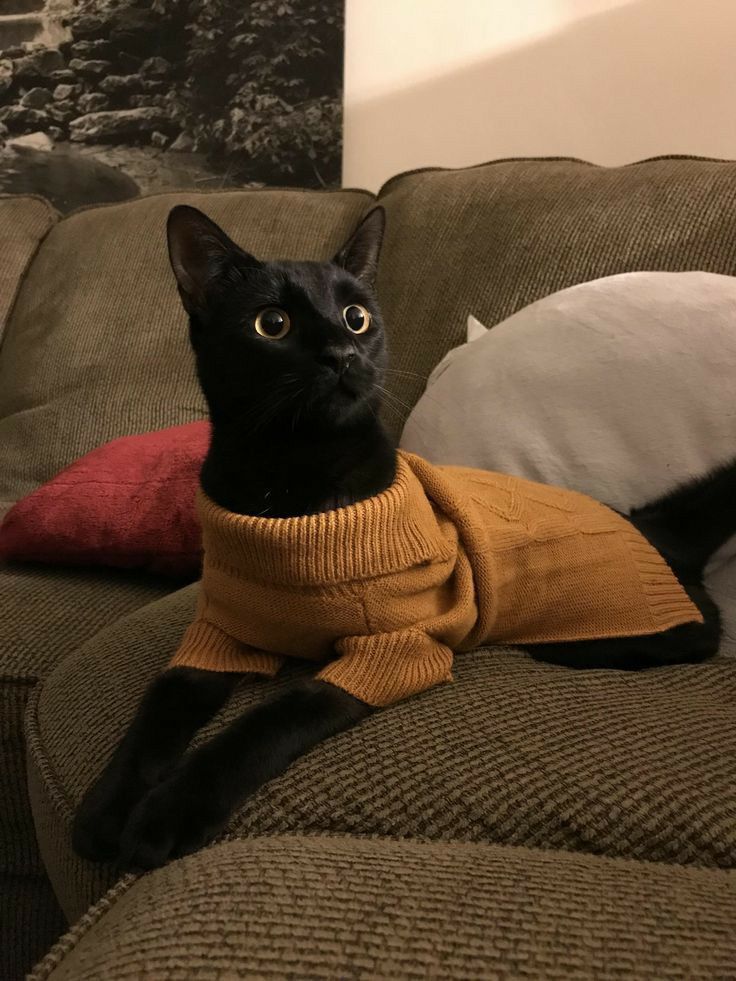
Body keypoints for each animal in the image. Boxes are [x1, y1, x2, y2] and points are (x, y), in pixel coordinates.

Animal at [72, 203, 732, 868]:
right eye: (272, 323)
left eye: (356, 317)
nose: (342, 353)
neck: (285, 482)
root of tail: (648, 523)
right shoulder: (217, 636)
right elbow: (158, 707)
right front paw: (107, 809)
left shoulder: (394, 650)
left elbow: (268, 720)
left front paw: (169, 812)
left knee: (701, 634)